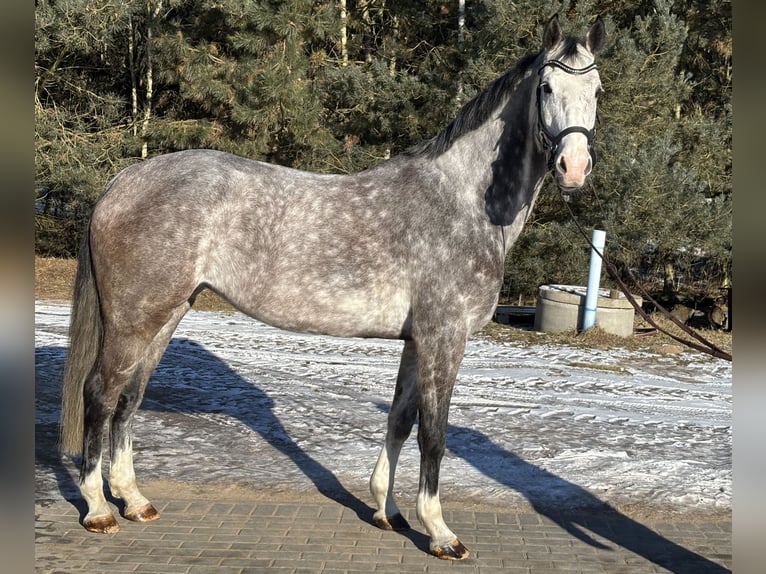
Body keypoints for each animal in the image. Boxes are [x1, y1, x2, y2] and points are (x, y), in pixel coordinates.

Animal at [59, 14, 605, 560]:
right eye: (547, 87)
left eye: (597, 91)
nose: (574, 168)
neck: (462, 202)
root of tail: (124, 179)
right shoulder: (444, 338)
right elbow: (434, 434)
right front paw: (440, 532)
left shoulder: (417, 341)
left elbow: (400, 420)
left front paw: (387, 510)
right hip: (134, 318)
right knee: (101, 393)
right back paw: (99, 508)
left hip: (166, 313)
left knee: (130, 397)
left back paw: (134, 500)